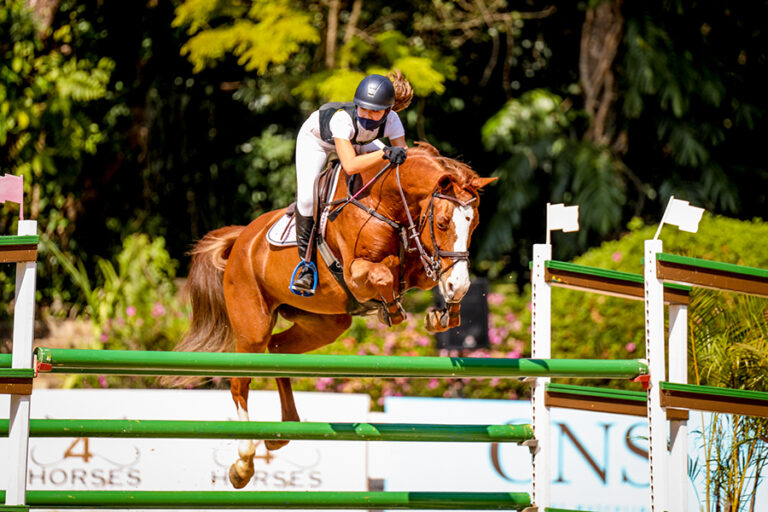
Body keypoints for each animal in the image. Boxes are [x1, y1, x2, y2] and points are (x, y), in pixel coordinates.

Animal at [166, 143, 496, 488]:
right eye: (443, 223)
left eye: (474, 225)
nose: (458, 285)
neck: (387, 203)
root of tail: (243, 238)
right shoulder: (356, 273)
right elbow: (384, 275)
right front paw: (394, 311)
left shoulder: (418, 263)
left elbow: (430, 275)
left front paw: (445, 309)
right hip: (251, 327)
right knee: (239, 383)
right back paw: (243, 462)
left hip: (327, 323)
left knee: (279, 350)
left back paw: (281, 433)